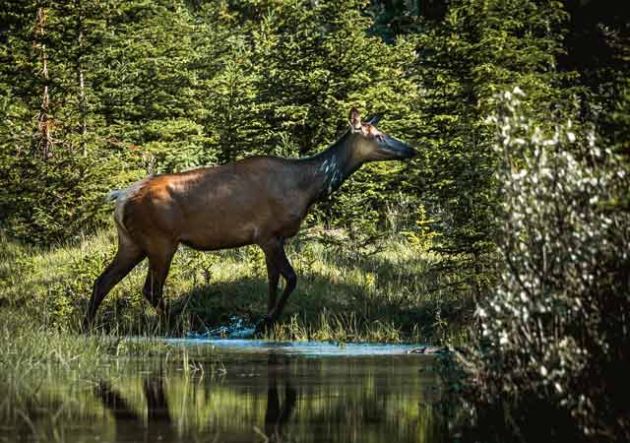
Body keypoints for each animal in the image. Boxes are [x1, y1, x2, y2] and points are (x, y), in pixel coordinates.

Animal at [85, 109, 420, 332]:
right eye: (378, 136)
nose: (410, 148)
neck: (307, 187)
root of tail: (121, 197)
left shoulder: (274, 238)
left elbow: (272, 280)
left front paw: (266, 318)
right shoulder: (267, 234)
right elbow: (291, 278)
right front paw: (267, 319)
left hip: (131, 242)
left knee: (103, 281)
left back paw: (88, 324)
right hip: (160, 241)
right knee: (150, 290)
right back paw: (180, 323)